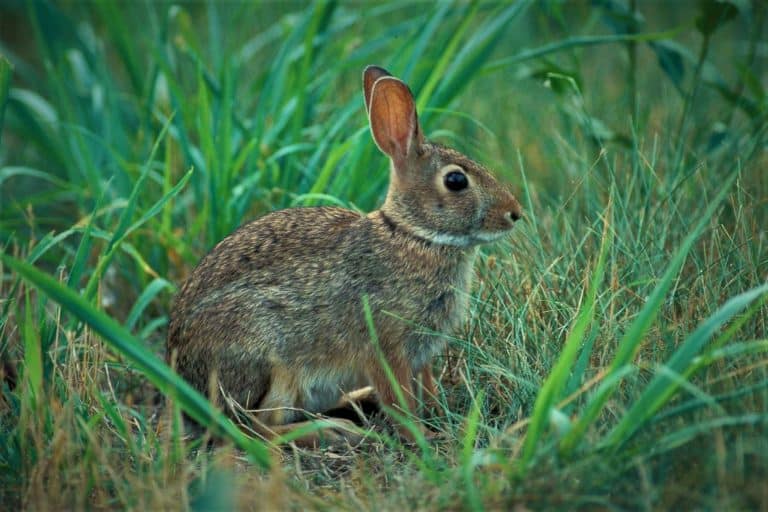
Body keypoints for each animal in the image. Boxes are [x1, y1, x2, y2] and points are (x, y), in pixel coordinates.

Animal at [167, 65, 522, 447]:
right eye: (456, 181)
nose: (514, 213)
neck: (415, 235)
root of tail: (187, 387)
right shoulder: (385, 345)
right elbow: (400, 401)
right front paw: (421, 437)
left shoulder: (421, 353)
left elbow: (424, 387)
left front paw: (438, 416)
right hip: (271, 362)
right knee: (253, 427)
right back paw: (333, 430)